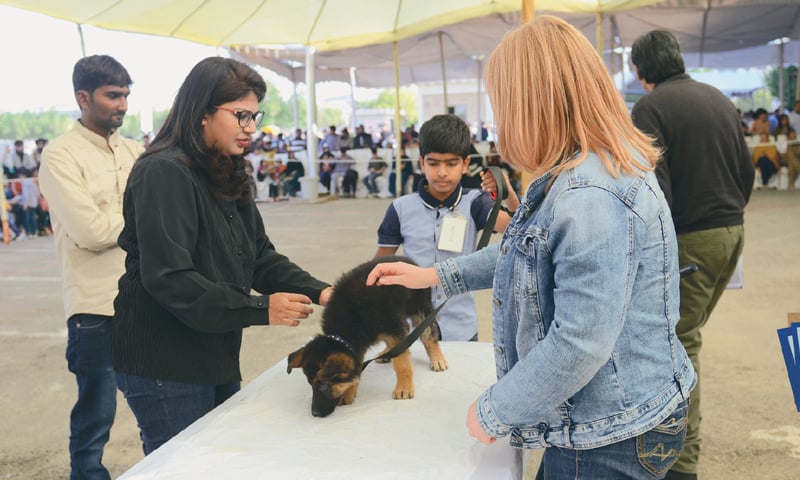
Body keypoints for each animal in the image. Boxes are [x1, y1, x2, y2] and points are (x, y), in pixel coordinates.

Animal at [288, 255, 450, 416]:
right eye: (310, 384)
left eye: (323, 387)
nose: (315, 413)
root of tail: (409, 261)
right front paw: (350, 392)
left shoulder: (392, 327)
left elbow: (402, 363)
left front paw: (404, 387)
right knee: (406, 329)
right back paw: (387, 353)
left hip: (419, 307)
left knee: (429, 333)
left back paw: (437, 358)